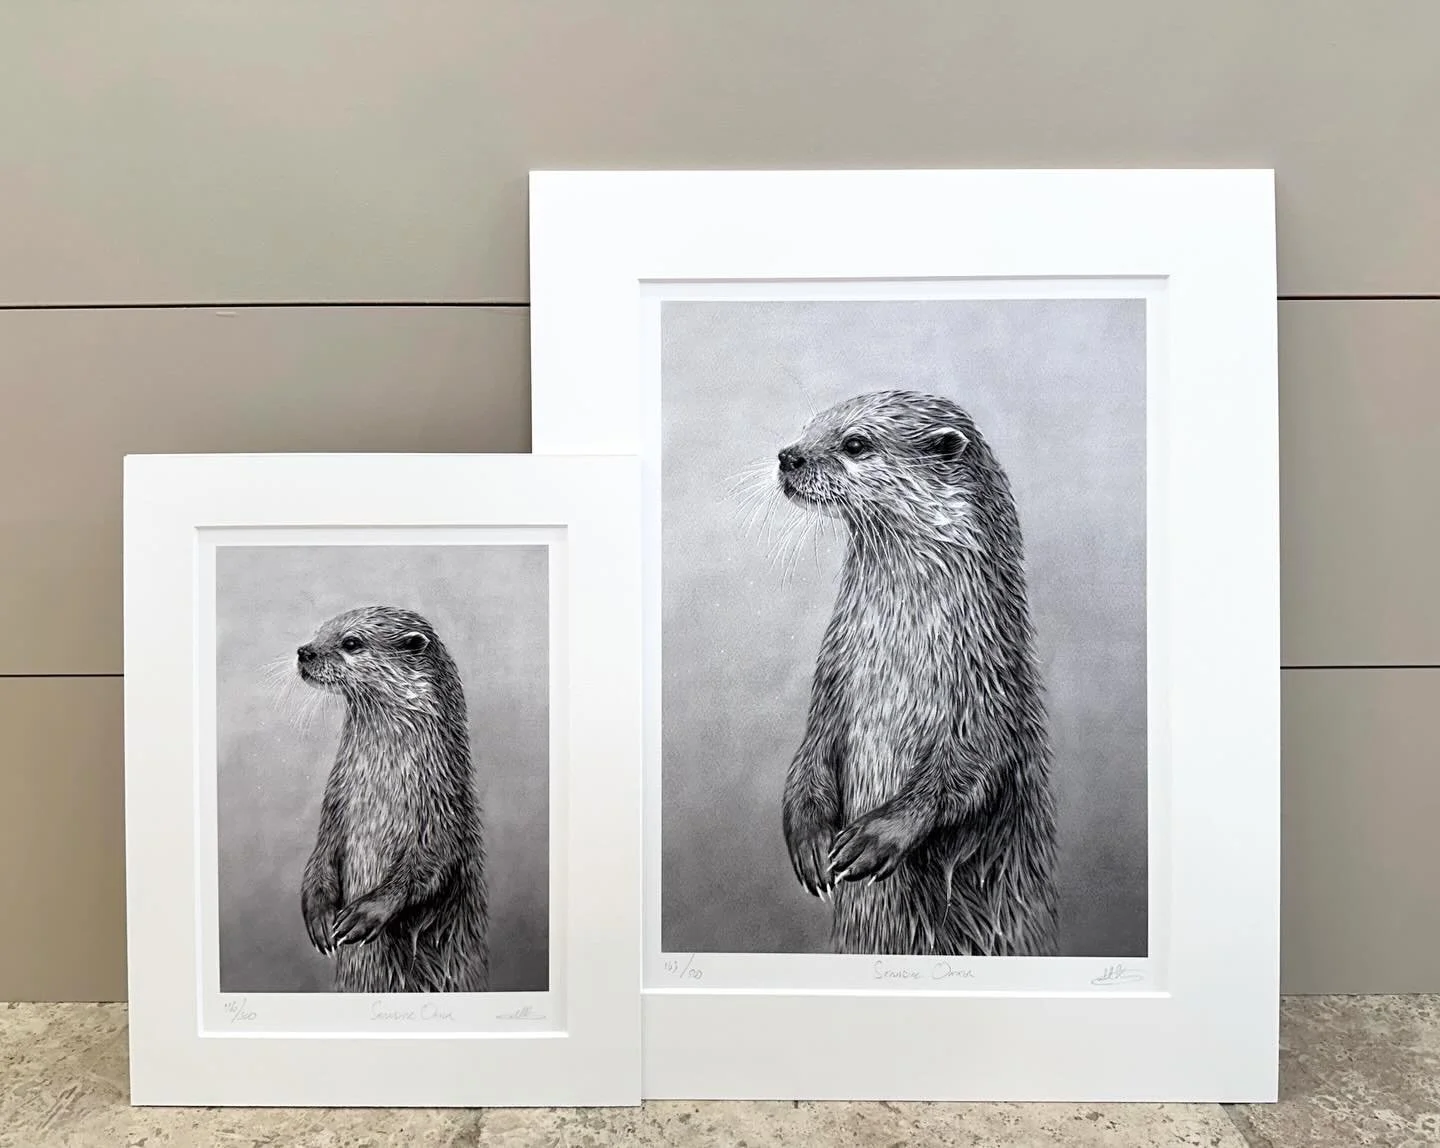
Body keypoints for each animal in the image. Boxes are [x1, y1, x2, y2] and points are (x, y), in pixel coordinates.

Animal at [296, 606, 489, 992]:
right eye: (320, 631)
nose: (304, 652)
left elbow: (430, 866)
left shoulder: (444, 811)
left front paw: (363, 914)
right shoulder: (335, 805)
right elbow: (321, 855)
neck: (380, 789)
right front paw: (319, 914)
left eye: (351, 642)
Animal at [779, 389, 1059, 957]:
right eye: (808, 427)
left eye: (855, 443)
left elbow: (973, 768)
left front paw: (876, 837)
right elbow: (811, 751)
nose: (787, 457)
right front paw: (809, 838)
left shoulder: (990, 690)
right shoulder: (832, 682)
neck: (899, 657)